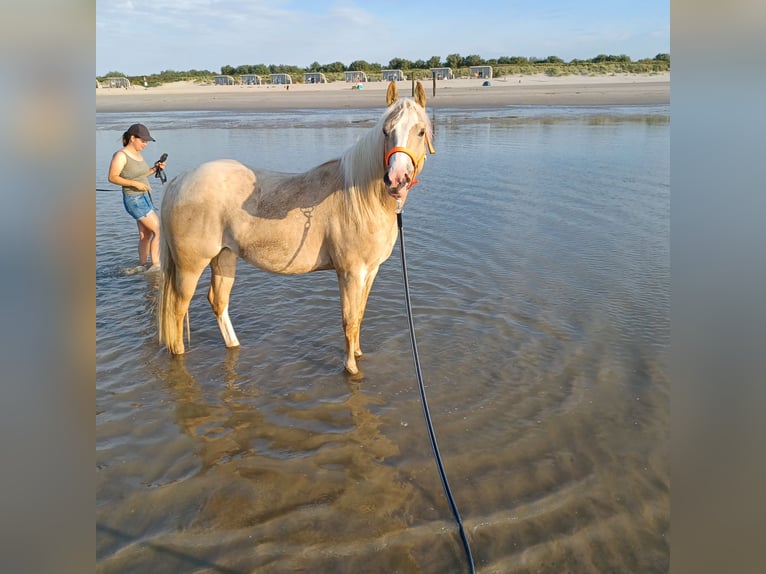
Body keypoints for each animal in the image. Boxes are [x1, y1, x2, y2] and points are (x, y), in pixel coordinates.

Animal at [159, 82, 436, 378]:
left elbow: (360, 315)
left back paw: (234, 346)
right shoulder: (350, 272)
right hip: (190, 266)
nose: (396, 180)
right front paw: (351, 368)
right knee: (178, 310)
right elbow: (349, 320)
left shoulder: (370, 271)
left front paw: (359, 353)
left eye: (420, 130)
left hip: (224, 257)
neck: (359, 197)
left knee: (218, 301)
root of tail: (180, 180)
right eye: (386, 131)